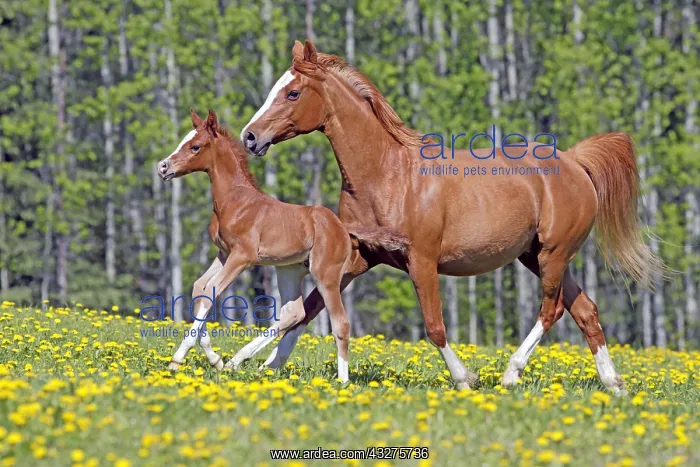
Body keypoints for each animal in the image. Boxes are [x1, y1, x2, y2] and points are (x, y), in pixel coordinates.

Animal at [156, 108, 390, 382]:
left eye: (195, 146)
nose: (163, 167)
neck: (234, 201)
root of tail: (344, 229)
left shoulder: (242, 257)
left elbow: (211, 290)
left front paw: (178, 359)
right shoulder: (223, 254)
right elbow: (200, 288)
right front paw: (215, 360)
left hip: (326, 275)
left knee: (340, 322)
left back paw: (342, 381)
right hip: (289, 270)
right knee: (294, 313)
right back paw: (236, 360)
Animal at [238, 40, 665, 394]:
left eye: (293, 92)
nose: (249, 137)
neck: (387, 175)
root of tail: (576, 162)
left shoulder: (422, 260)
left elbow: (434, 325)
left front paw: (465, 379)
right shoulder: (360, 257)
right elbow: (304, 310)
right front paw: (254, 363)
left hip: (553, 255)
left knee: (552, 309)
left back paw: (511, 374)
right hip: (535, 255)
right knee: (586, 311)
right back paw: (614, 385)